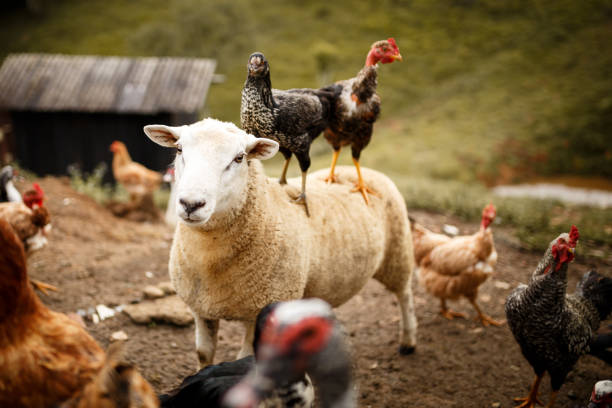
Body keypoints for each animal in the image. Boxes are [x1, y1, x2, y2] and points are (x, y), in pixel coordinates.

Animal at [143, 118, 416, 370]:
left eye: (239, 158)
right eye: (179, 149)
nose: (191, 204)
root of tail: (363, 171)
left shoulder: (262, 311)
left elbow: (244, 359)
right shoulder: (201, 309)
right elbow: (203, 354)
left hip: (398, 252)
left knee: (405, 294)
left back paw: (408, 341)